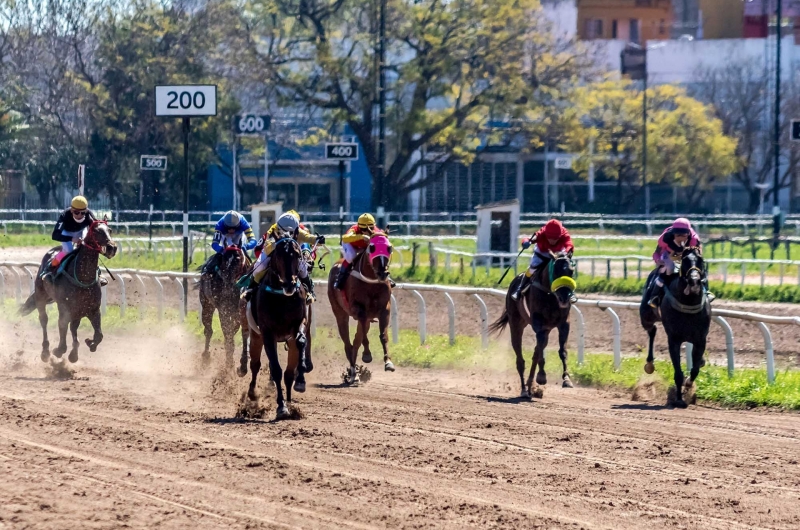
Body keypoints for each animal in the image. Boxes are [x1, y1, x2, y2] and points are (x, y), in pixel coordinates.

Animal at [20, 220, 118, 364]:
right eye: (96, 231)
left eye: (110, 230)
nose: (112, 248)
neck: (83, 277)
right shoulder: (64, 307)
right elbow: (62, 325)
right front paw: (59, 350)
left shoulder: (93, 309)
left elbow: (99, 335)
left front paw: (89, 343)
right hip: (40, 296)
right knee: (44, 320)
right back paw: (45, 351)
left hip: (76, 310)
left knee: (73, 326)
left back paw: (74, 352)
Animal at [242, 237, 308, 418]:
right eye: (278, 256)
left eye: (297, 255)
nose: (290, 285)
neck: (281, 298)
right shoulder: (267, 333)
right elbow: (276, 369)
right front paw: (281, 406)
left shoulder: (297, 325)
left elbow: (301, 341)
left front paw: (300, 381)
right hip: (256, 336)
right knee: (255, 365)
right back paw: (252, 393)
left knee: (288, 374)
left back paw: (291, 402)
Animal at [326, 232, 396, 384]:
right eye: (372, 247)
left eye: (389, 247)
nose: (383, 273)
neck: (371, 281)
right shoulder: (359, 310)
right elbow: (363, 336)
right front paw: (367, 355)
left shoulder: (384, 310)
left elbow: (383, 336)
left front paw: (388, 363)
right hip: (340, 313)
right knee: (348, 344)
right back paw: (353, 372)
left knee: (355, 343)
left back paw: (355, 374)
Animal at [488, 251, 576, 396]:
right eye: (556, 271)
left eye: (571, 271)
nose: (564, 297)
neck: (550, 295)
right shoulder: (538, 324)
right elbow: (539, 351)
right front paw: (541, 376)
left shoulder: (564, 324)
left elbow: (562, 351)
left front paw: (567, 379)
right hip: (516, 324)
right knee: (520, 359)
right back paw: (524, 389)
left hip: (546, 329)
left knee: (536, 352)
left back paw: (530, 386)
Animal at [640, 245, 708, 406]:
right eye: (685, 260)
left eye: (700, 260)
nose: (694, 281)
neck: (688, 303)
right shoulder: (674, 340)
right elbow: (678, 373)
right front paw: (678, 399)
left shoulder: (701, 339)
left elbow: (695, 369)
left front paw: (688, 384)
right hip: (646, 316)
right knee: (652, 330)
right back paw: (649, 364)